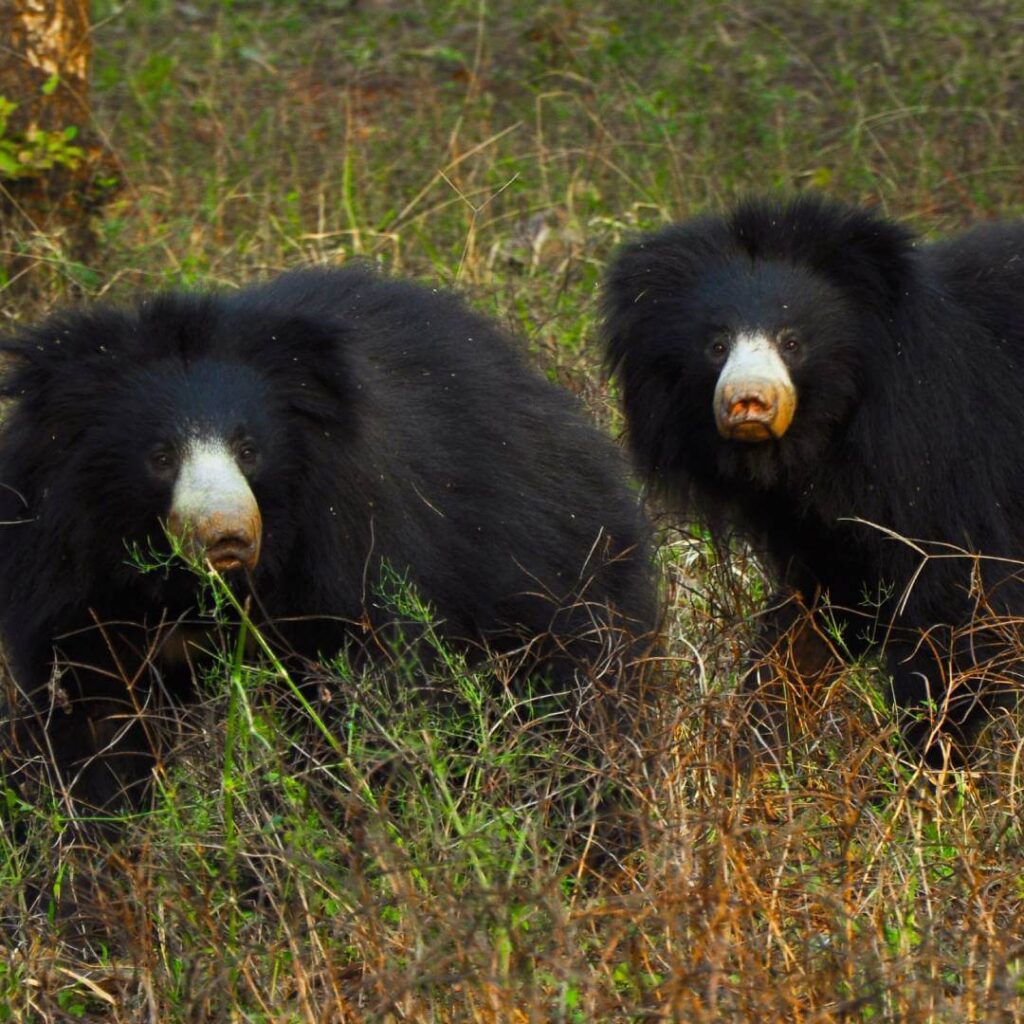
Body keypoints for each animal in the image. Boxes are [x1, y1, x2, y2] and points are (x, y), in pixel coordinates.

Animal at [0, 264, 655, 806]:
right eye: (161, 457)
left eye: (249, 449)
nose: (228, 537)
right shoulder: (73, 578)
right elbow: (95, 720)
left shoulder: (348, 544)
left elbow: (359, 690)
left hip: (557, 581)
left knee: (574, 703)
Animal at [602, 193, 1024, 761]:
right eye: (717, 346)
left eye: (792, 342)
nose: (749, 401)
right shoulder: (816, 521)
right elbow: (820, 609)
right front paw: (755, 741)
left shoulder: (949, 465)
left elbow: (964, 612)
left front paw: (924, 754)